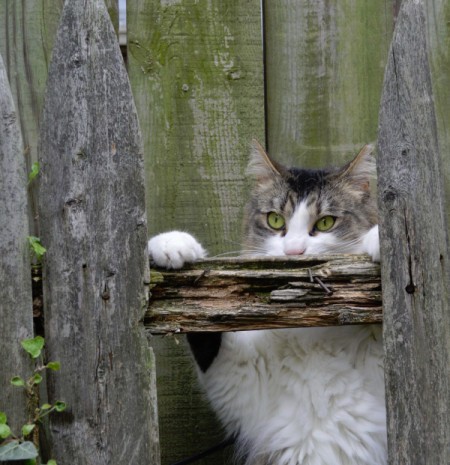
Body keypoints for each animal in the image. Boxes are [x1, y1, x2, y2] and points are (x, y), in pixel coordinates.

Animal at [149, 142, 386, 464]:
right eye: (275, 220)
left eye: (326, 223)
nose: (294, 251)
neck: (311, 333)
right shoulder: (241, 381)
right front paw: (172, 244)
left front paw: (379, 239)